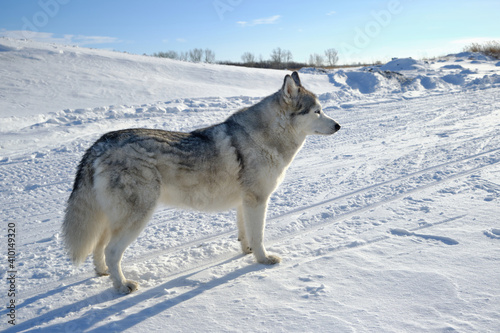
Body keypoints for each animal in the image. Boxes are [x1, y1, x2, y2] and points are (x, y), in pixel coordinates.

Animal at [62, 71, 340, 292]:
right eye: (317, 111)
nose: (338, 126)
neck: (265, 137)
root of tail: (100, 143)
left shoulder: (244, 202)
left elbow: (246, 235)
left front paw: (247, 253)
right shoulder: (257, 200)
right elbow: (259, 236)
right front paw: (263, 261)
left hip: (112, 219)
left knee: (99, 249)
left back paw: (104, 275)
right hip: (136, 217)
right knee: (111, 252)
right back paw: (122, 286)